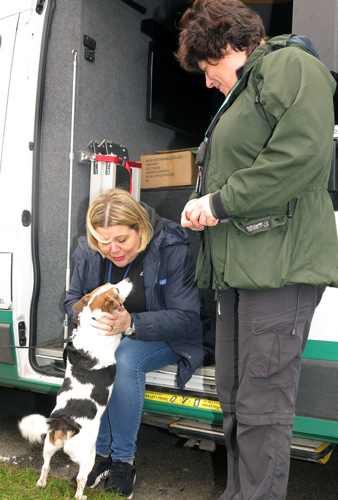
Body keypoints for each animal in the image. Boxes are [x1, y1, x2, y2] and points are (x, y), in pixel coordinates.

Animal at [18, 278, 132, 500]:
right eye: (116, 289)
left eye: (111, 283)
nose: (129, 279)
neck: (92, 322)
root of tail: (65, 422)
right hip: (87, 458)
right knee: (80, 480)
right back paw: (81, 496)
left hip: (48, 446)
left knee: (45, 466)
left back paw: (41, 484)